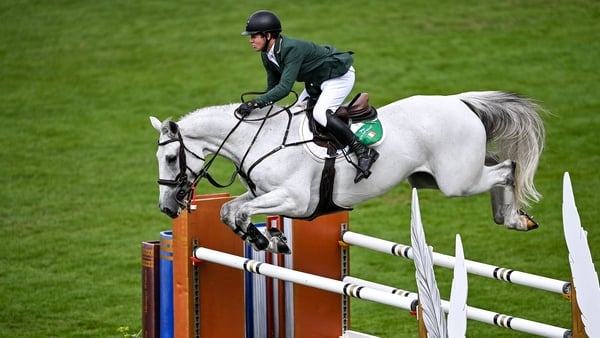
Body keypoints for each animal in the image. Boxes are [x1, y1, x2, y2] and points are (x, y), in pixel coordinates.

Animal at [149, 91, 544, 255]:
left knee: (507, 168)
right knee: (497, 163)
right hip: (435, 176)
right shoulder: (263, 193)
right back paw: (509, 216)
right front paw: (269, 240)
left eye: (170, 157)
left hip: (456, 182)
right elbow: (228, 209)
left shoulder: (296, 201)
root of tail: (460, 102)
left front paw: (266, 240)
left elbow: (240, 211)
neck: (260, 138)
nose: (168, 207)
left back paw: (515, 218)